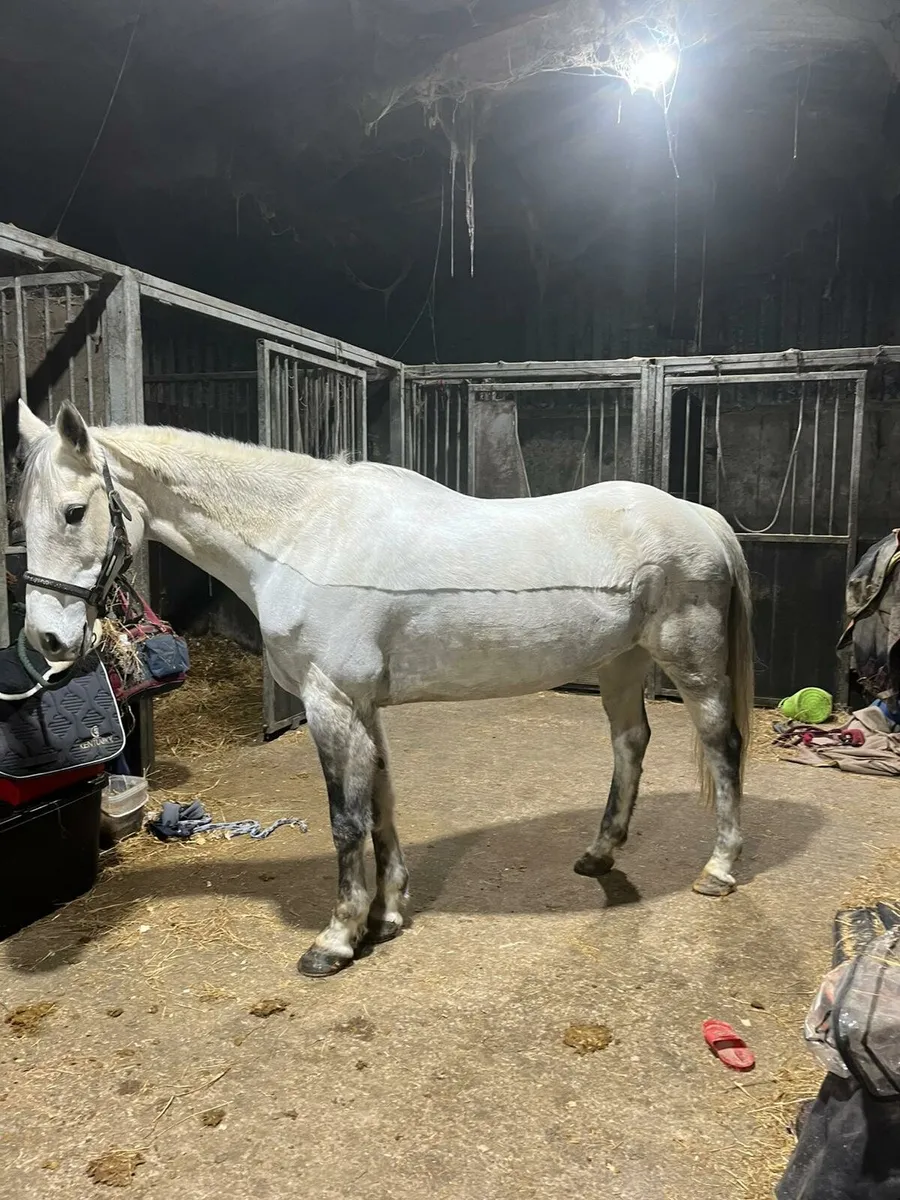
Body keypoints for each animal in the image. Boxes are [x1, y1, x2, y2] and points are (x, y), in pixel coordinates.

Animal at [14, 400, 754, 977]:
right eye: (23, 520)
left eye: (75, 512)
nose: (47, 640)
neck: (301, 536)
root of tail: (699, 516)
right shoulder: (361, 705)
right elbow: (380, 803)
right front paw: (388, 912)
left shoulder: (331, 702)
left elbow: (346, 818)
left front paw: (337, 940)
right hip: (621, 662)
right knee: (630, 742)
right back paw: (600, 853)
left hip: (689, 660)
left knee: (723, 745)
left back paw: (719, 869)